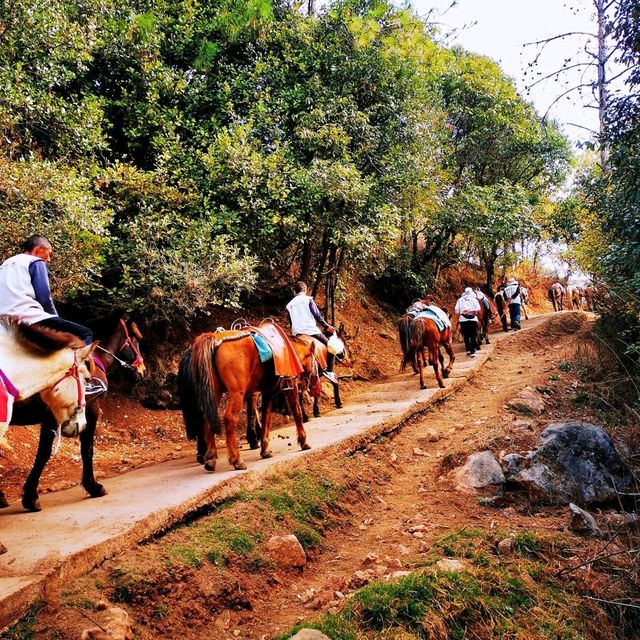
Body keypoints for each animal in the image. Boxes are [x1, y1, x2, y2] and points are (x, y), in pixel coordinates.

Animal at [178, 322, 316, 472]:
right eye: (314, 360)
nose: (314, 379)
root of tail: (213, 339)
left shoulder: (268, 392)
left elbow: (266, 417)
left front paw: (264, 449)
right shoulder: (291, 384)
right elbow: (296, 411)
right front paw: (303, 441)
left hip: (214, 392)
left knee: (207, 419)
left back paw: (210, 458)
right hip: (236, 393)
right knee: (229, 419)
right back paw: (236, 460)